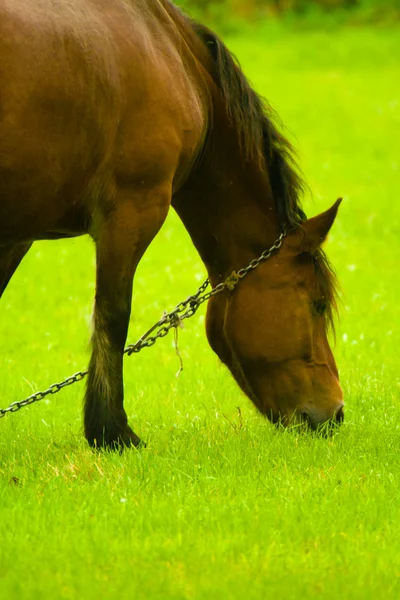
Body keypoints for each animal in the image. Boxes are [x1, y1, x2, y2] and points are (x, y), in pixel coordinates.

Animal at [0, 0, 344, 448]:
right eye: (316, 303)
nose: (336, 412)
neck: (173, 57)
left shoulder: (17, 233)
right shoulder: (132, 210)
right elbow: (113, 315)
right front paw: (112, 431)